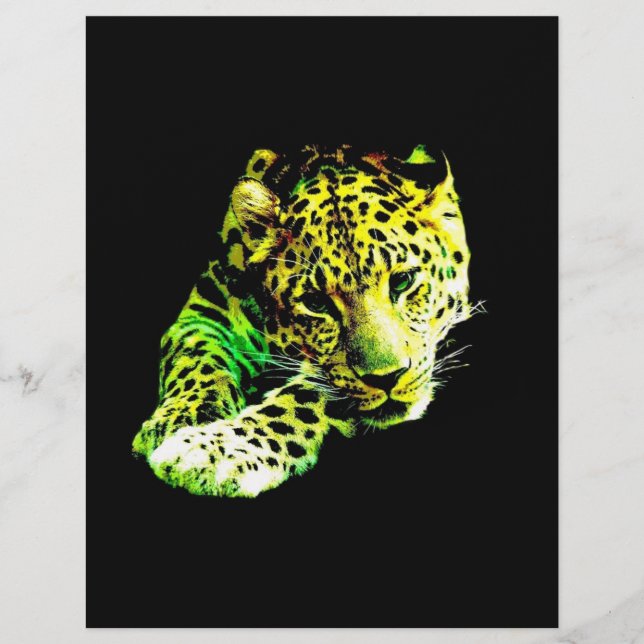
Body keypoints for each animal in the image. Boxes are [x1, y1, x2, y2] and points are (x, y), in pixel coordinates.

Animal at [132, 144, 473, 498]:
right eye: (316, 303)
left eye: (402, 281)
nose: (387, 378)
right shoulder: (208, 309)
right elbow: (196, 359)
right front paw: (179, 419)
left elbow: (306, 396)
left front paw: (213, 452)